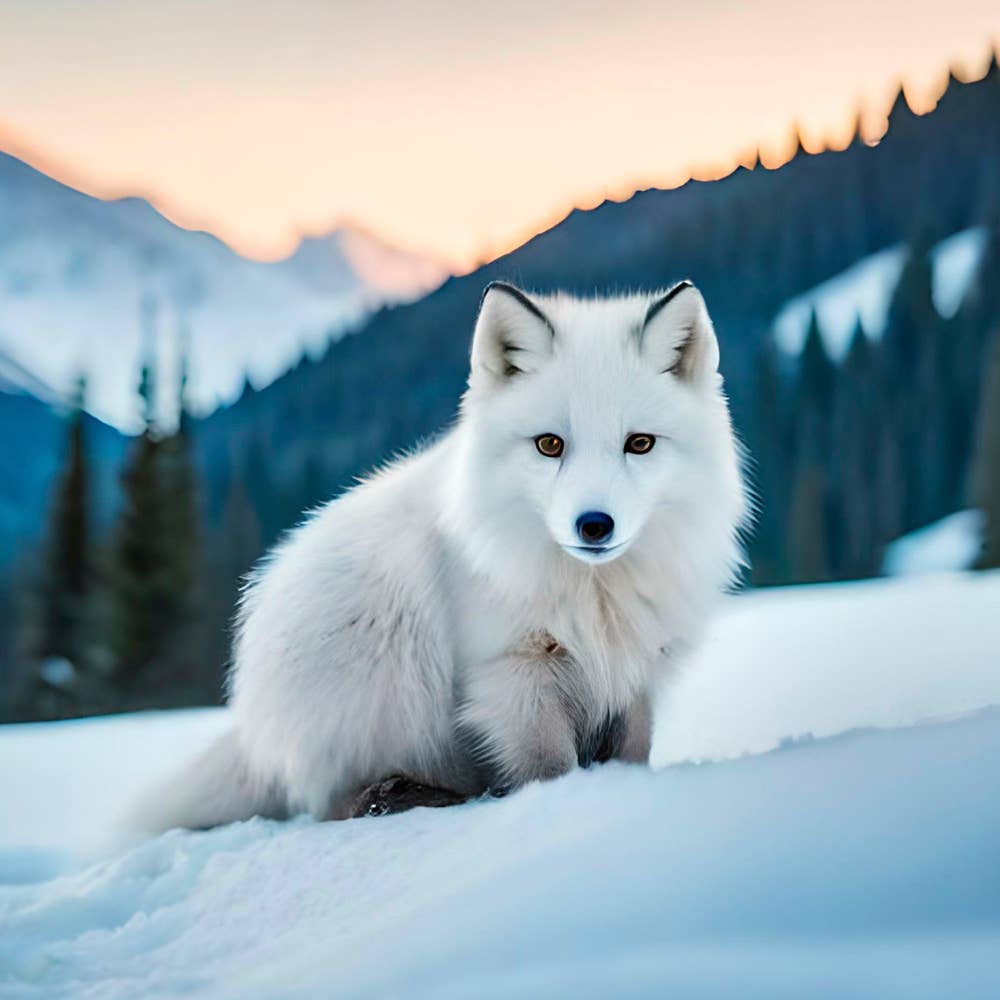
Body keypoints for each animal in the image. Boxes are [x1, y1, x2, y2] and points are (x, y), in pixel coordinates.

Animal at [134, 280, 746, 831]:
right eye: (550, 445)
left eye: (639, 444)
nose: (594, 525)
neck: (593, 596)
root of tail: (252, 726)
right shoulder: (513, 676)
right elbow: (550, 768)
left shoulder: (633, 674)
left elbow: (633, 756)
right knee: (331, 806)